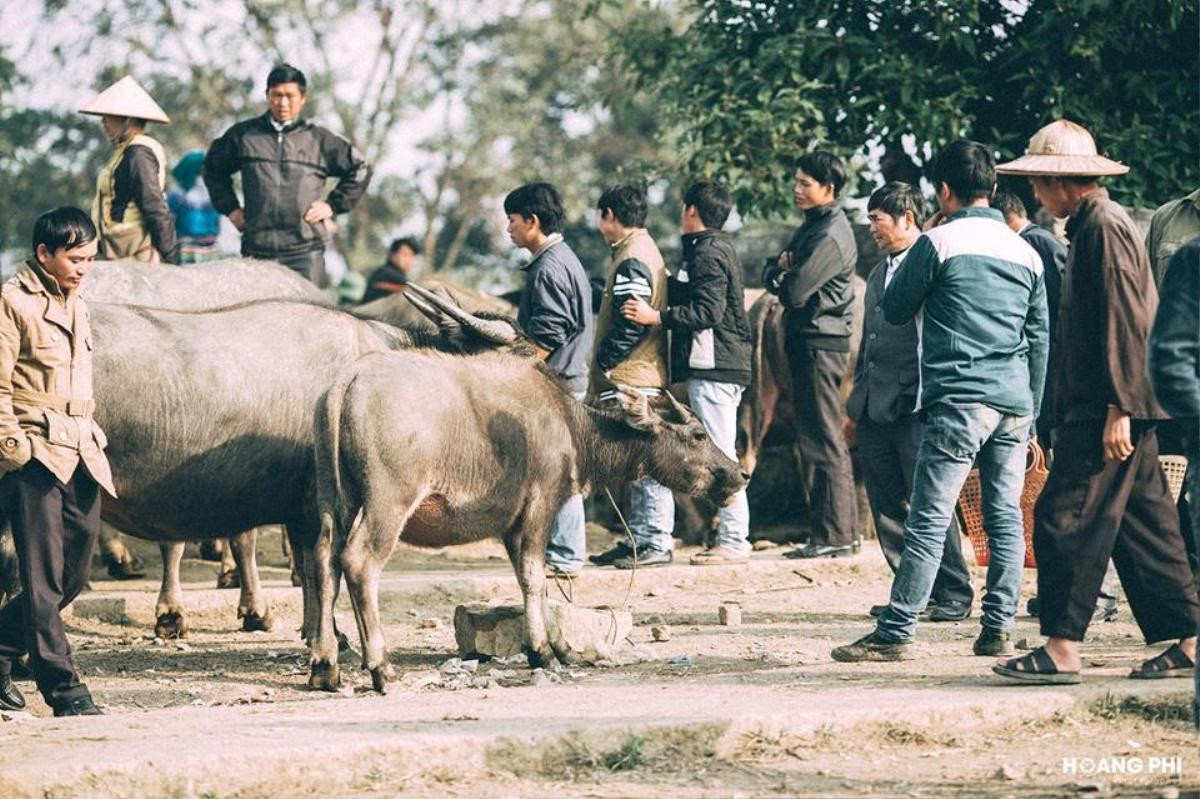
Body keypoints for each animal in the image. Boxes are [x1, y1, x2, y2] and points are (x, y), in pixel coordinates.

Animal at [307, 355, 748, 691]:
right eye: (697, 434)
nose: (739, 473)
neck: (570, 425)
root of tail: (347, 382)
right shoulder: (540, 506)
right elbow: (536, 578)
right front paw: (543, 652)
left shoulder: (510, 525)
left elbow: (527, 578)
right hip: (388, 502)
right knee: (360, 563)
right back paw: (381, 668)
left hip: (332, 501)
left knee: (324, 562)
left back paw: (324, 667)